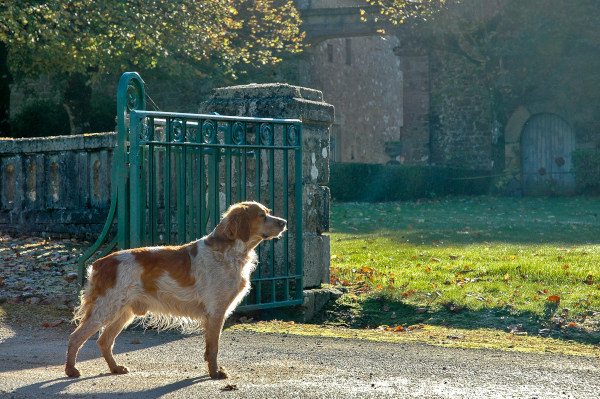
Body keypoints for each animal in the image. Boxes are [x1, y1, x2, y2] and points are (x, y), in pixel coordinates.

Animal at [67, 202, 288, 380]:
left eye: (268, 213)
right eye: (262, 215)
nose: (284, 222)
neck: (230, 253)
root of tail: (100, 263)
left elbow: (209, 348)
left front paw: (212, 370)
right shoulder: (216, 311)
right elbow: (214, 348)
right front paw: (215, 373)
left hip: (123, 313)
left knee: (104, 341)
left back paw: (115, 368)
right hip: (105, 310)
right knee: (76, 337)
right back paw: (71, 370)